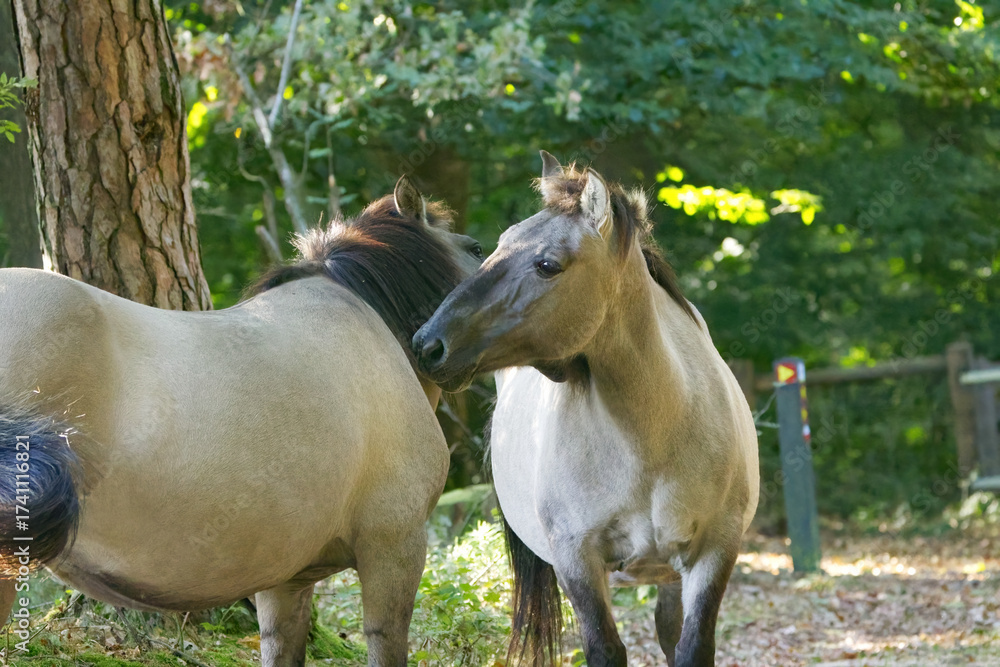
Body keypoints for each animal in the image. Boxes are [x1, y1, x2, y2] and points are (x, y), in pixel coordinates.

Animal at [412, 153, 759, 667]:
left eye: (547, 265)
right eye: (498, 245)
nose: (427, 345)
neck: (652, 436)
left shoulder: (715, 551)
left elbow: (691, 646)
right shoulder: (577, 561)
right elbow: (604, 649)